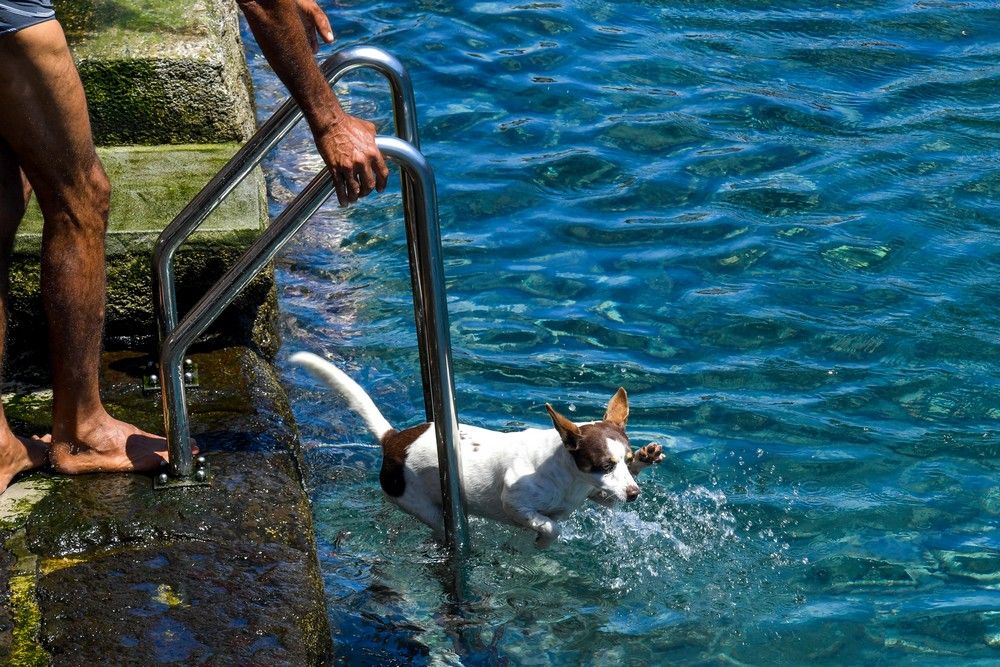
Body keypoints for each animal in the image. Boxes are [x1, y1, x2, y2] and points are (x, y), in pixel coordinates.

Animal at [290, 352, 664, 544]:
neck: (568, 476)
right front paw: (544, 539)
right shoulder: (515, 502)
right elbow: (549, 525)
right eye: (604, 464)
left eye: (623, 460)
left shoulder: (598, 494)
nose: (634, 494)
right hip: (419, 504)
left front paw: (646, 457)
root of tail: (394, 439)